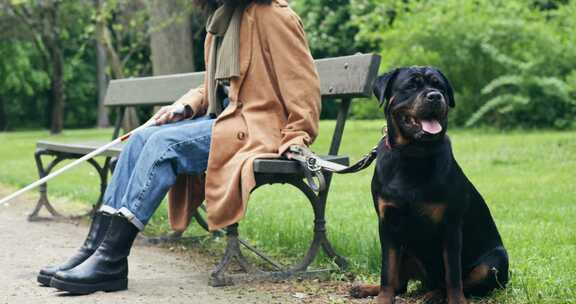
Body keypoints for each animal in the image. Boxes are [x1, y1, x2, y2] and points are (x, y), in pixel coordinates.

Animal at [352, 67, 508, 302]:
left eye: (439, 86)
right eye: (410, 86)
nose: (435, 96)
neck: (413, 154)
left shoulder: (451, 226)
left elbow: (453, 275)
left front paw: (456, 301)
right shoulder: (388, 223)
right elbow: (387, 271)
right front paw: (382, 298)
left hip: (494, 261)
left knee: (462, 282)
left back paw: (434, 294)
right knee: (400, 284)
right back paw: (367, 288)